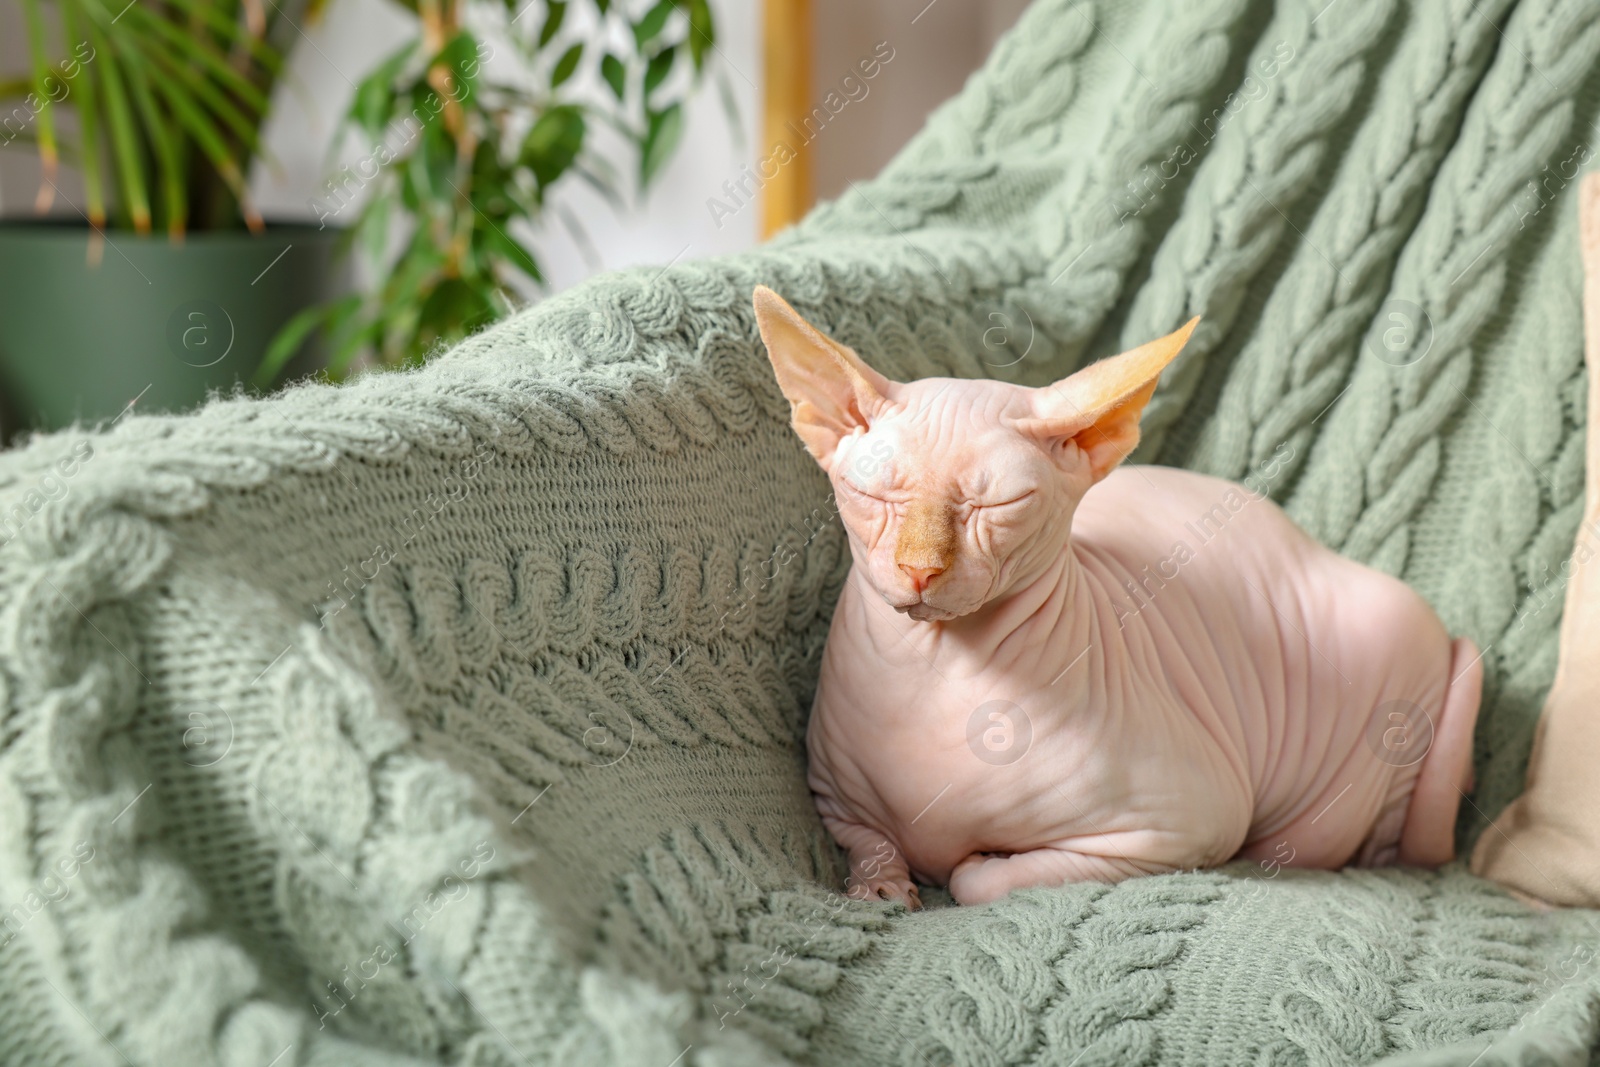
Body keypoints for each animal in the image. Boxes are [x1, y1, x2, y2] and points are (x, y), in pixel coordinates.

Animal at [755, 286, 1478, 908]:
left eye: (1000, 505)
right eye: (872, 493)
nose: (919, 569)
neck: (933, 672)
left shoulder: (1184, 823)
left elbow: (976, 879)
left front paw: (972, 859)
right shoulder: (830, 797)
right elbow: (870, 844)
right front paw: (880, 885)